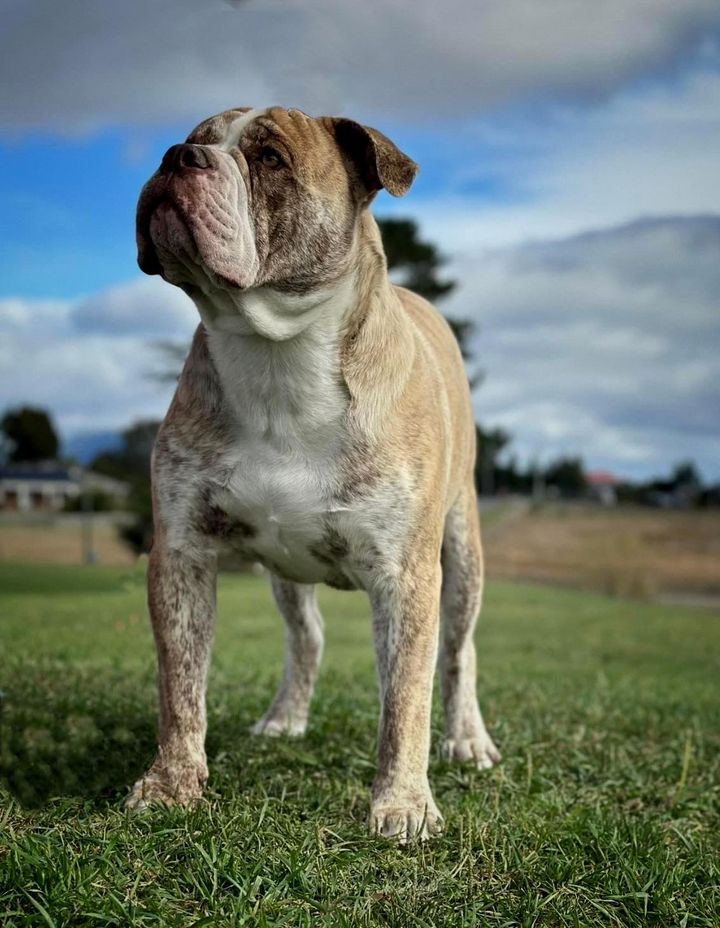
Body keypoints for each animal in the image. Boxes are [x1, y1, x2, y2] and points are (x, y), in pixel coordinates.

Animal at [128, 105, 500, 836]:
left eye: (270, 158)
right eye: (193, 138)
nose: (178, 156)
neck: (277, 360)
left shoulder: (407, 576)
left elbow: (406, 698)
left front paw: (402, 804)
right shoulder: (182, 554)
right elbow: (180, 685)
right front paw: (171, 784)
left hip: (462, 549)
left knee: (458, 652)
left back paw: (468, 740)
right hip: (285, 574)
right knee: (307, 637)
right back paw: (284, 718)